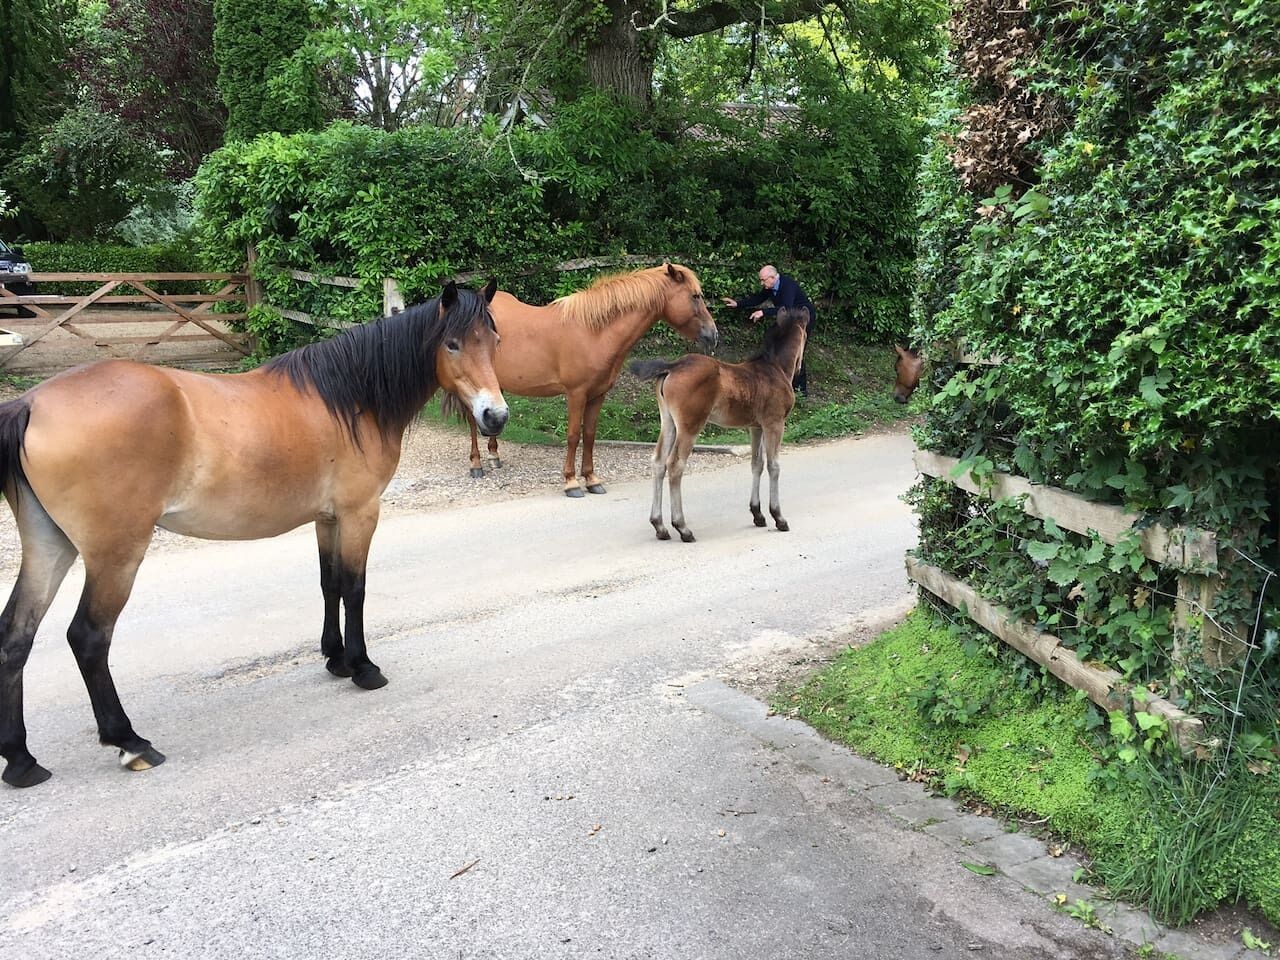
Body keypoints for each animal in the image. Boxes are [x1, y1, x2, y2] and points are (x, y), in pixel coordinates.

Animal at [0, 281, 508, 789]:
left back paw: (21, 761)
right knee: (89, 637)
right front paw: (363, 667)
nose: (496, 417)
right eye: (452, 344)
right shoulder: (359, 513)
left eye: (494, 342)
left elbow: (330, 585)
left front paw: (336, 659)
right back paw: (130, 742)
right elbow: (355, 589)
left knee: (16, 635)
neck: (350, 398)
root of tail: (31, 403)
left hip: (50, 546)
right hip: (116, 556)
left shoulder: (327, 518)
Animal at [447, 263, 719, 497]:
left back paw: (494, 456)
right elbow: (573, 436)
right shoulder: (576, 394)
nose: (713, 335)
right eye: (695, 296)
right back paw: (476, 464)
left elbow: (589, 435)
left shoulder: (598, 395)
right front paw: (571, 482)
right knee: (472, 420)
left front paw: (591, 479)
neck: (593, 332)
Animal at [629, 306, 809, 543]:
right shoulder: (774, 424)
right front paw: (778, 518)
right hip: (690, 426)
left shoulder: (756, 427)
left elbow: (757, 464)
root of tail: (674, 366)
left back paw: (660, 526)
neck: (775, 368)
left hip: (668, 422)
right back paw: (683, 528)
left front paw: (758, 514)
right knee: (675, 465)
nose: (799, 368)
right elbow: (774, 466)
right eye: (805, 336)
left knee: (658, 462)